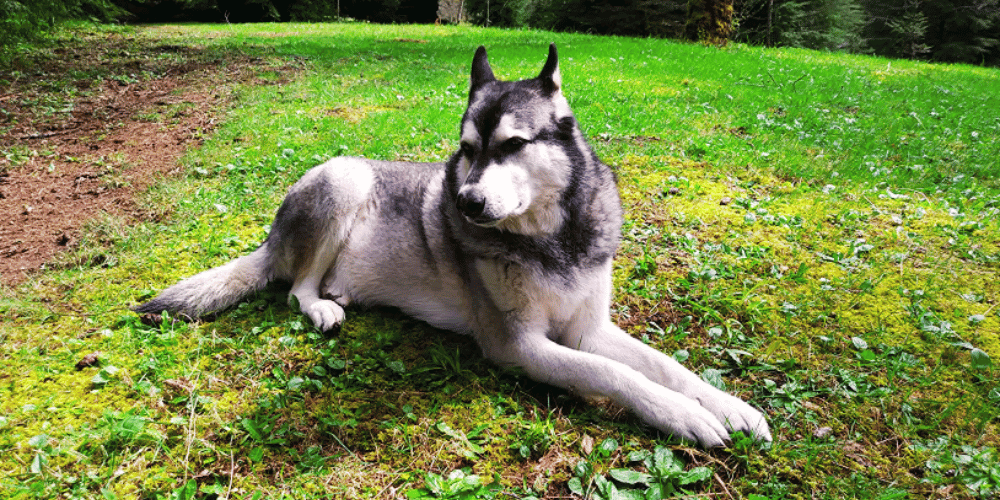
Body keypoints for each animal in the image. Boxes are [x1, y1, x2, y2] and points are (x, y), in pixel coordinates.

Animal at [135, 43, 772, 448]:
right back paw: (320, 306)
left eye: (513, 145)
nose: (464, 202)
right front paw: (684, 416)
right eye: (467, 148)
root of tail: (271, 237)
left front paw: (730, 406)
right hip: (344, 177)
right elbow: (616, 375)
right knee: (295, 288)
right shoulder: (518, 345)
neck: (552, 240)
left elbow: (666, 365)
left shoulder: (589, 328)